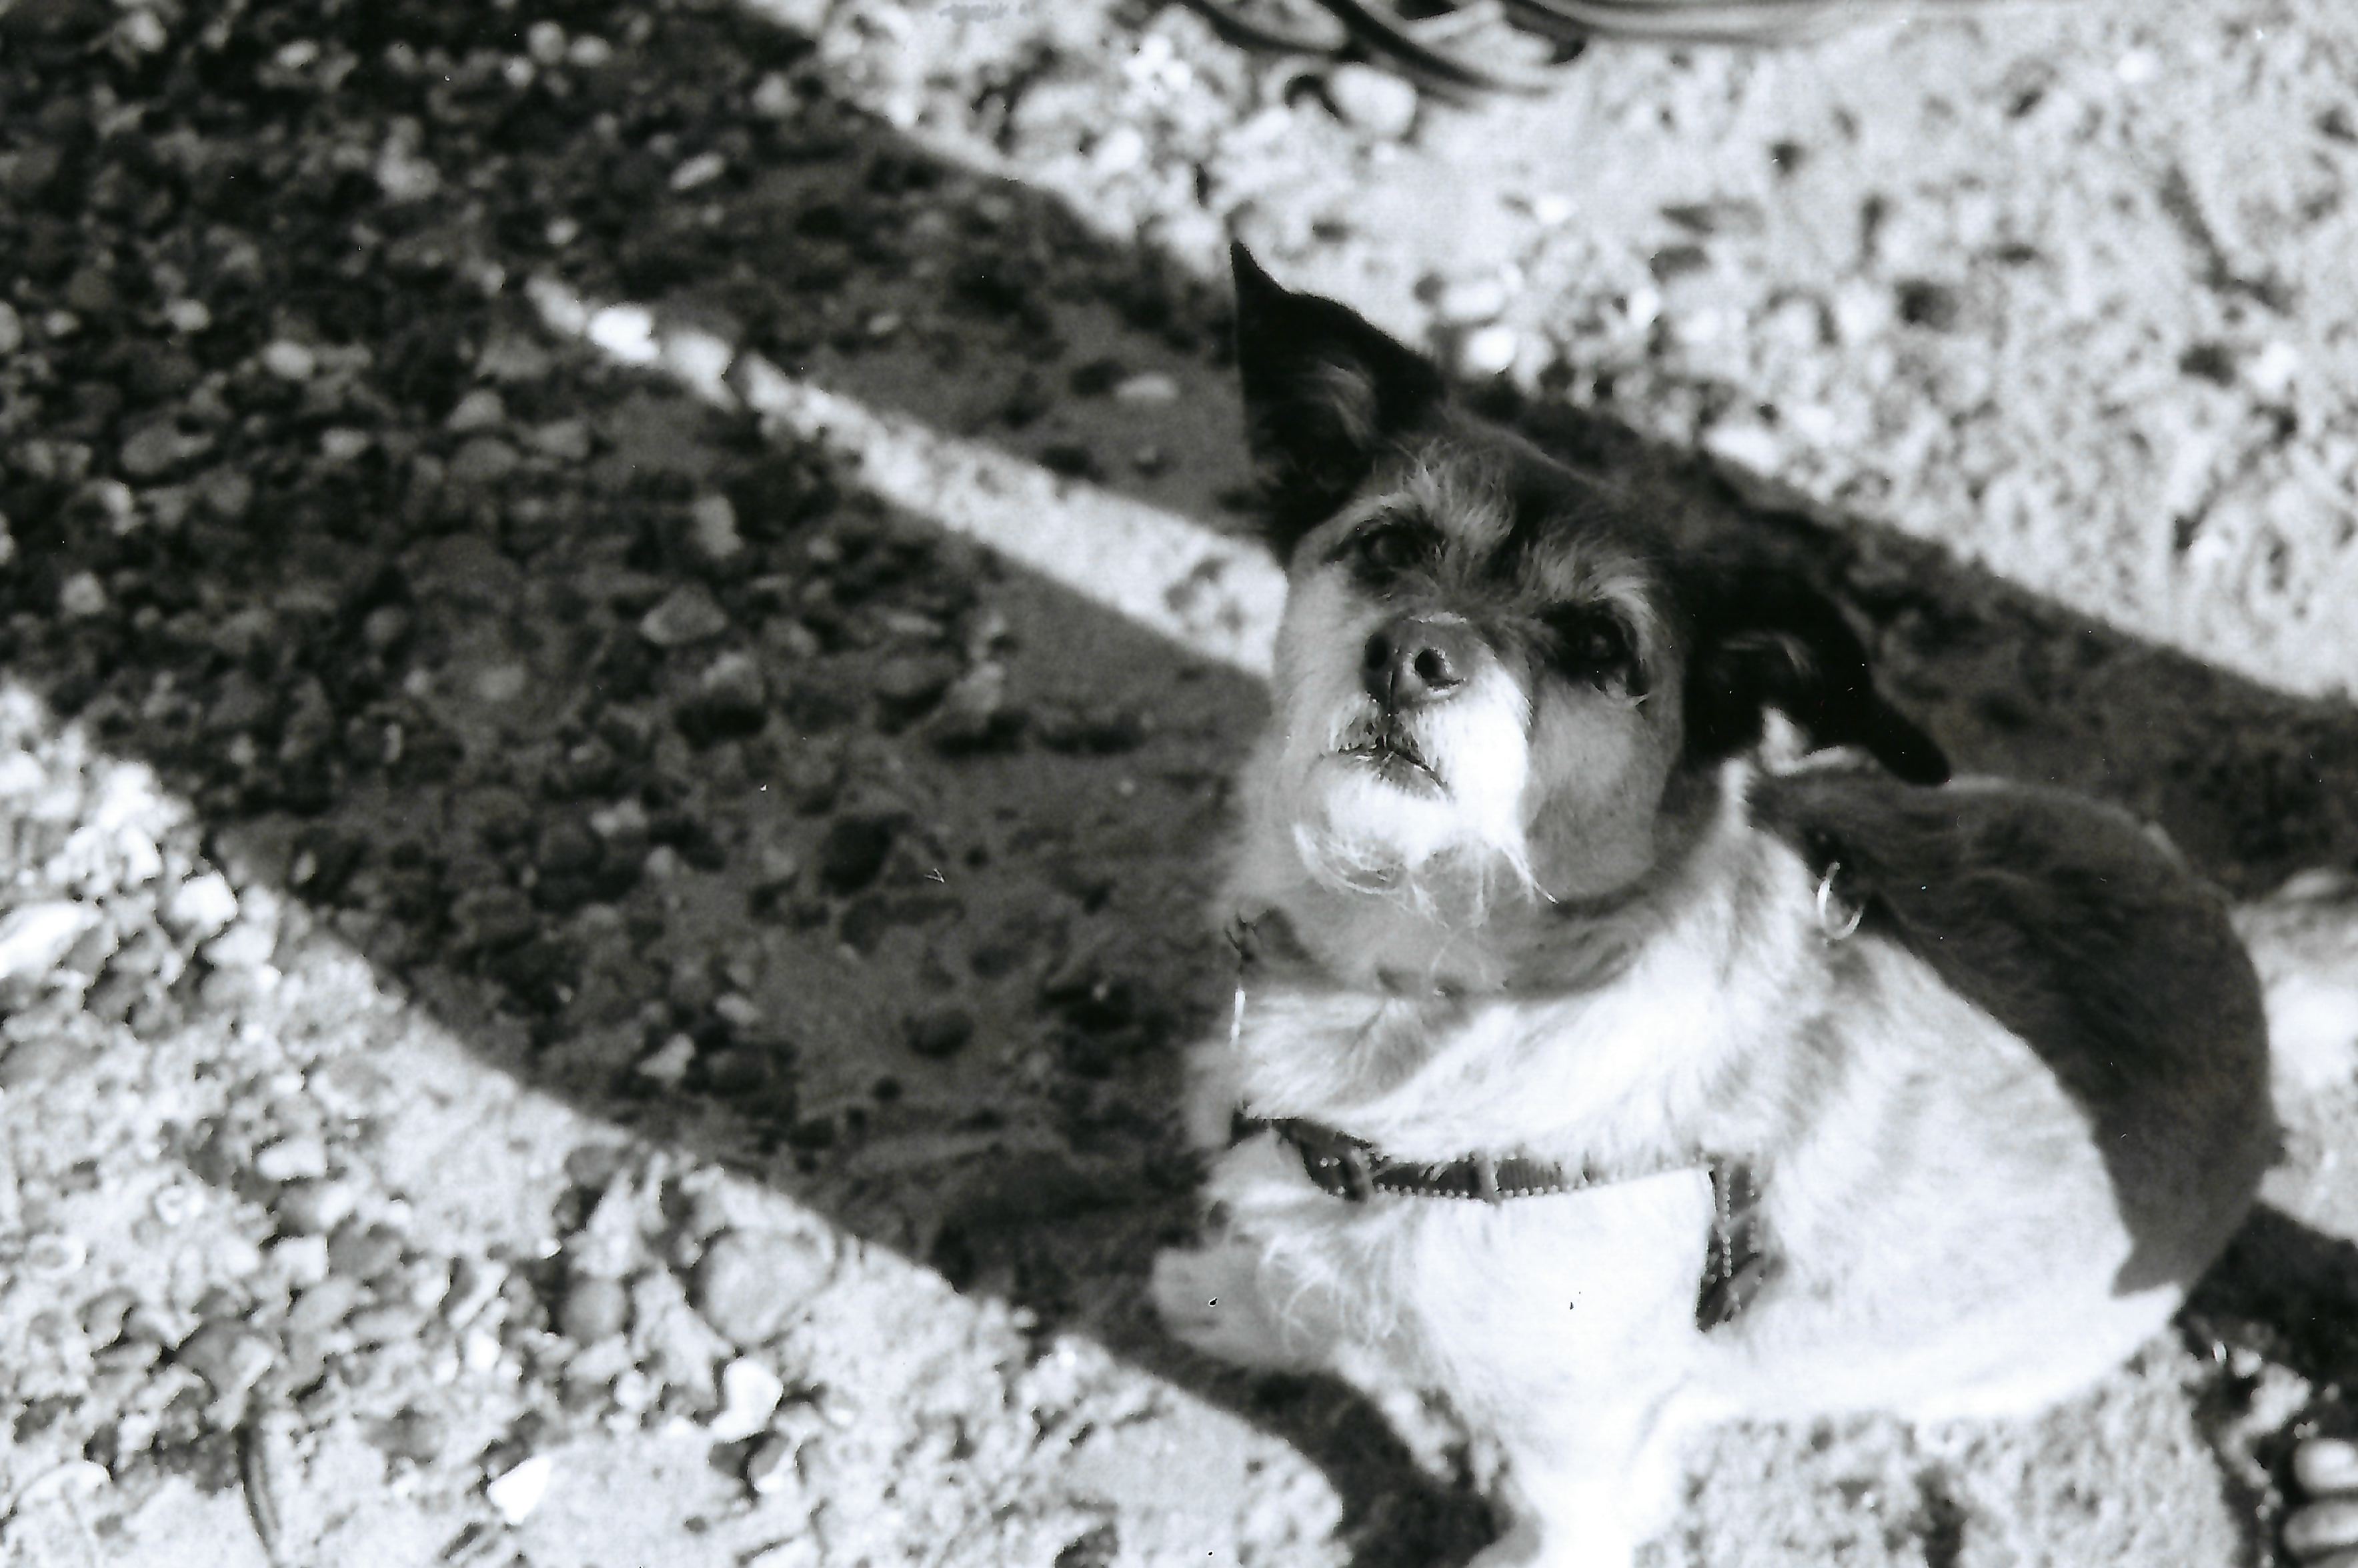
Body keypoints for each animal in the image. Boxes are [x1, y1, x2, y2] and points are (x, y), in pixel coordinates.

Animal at [1150, 245, 2291, 1565]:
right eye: (1387, 547)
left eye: (1602, 645)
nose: (1412, 656)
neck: (1406, 982)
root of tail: (2244, 963)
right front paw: (1239, 1303)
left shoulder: (1581, 1463)